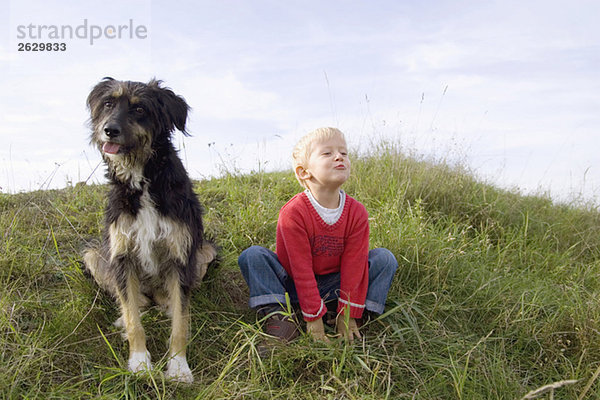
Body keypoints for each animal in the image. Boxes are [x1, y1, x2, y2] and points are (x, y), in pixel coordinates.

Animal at [82, 77, 216, 382]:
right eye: (108, 103)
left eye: (140, 108)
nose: (109, 130)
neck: (143, 180)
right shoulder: (122, 256)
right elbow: (134, 319)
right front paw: (140, 362)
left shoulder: (181, 256)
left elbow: (180, 322)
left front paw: (178, 367)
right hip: (94, 255)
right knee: (135, 301)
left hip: (205, 251)